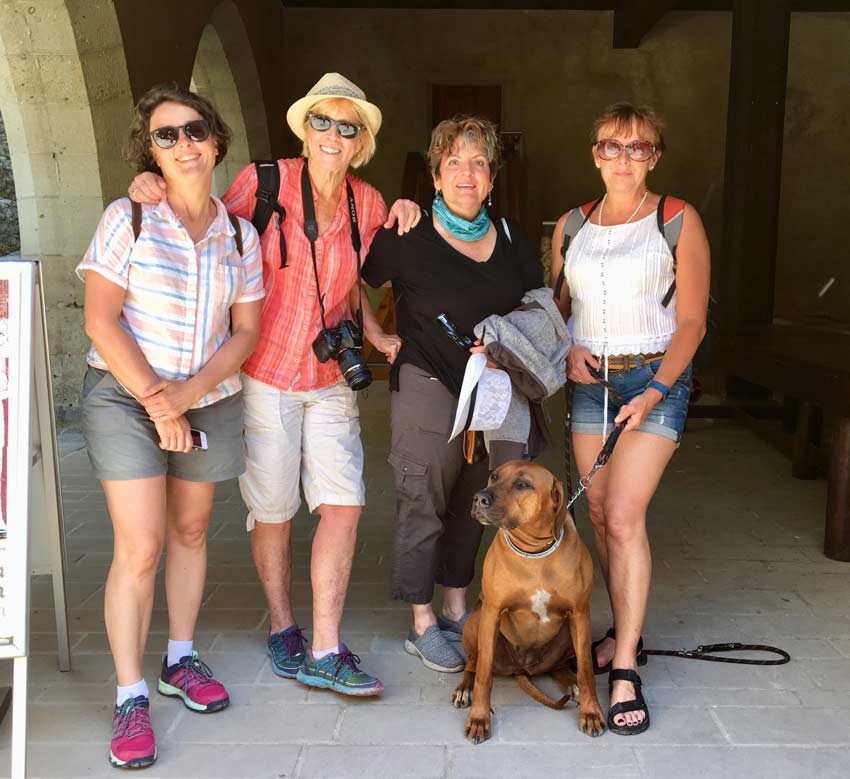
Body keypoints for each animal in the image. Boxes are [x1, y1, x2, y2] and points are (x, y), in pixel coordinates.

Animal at [450, 460, 604, 748]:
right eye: (494, 476)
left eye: (522, 485)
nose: (478, 498)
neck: (534, 552)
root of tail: (522, 668)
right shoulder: (492, 612)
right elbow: (484, 676)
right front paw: (478, 718)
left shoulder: (580, 613)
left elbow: (587, 670)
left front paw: (591, 712)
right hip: (476, 621)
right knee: (473, 663)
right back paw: (464, 687)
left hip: (569, 633)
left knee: (559, 666)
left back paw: (571, 683)